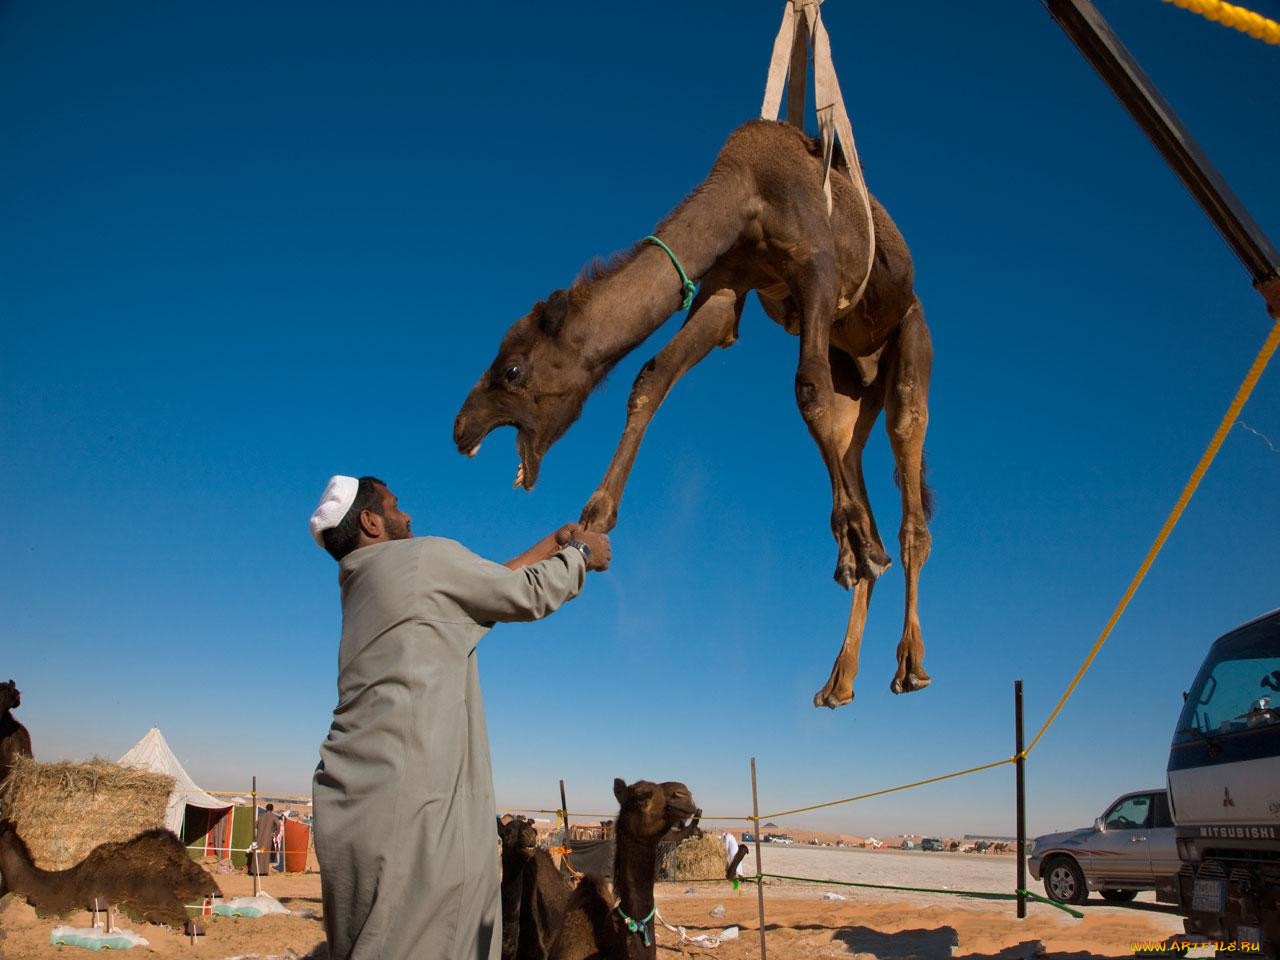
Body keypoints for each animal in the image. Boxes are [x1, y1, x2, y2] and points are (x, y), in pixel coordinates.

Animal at [455, 118, 936, 706]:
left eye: (512, 371)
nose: (461, 426)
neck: (748, 192)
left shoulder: (818, 270)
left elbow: (807, 388)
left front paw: (850, 542)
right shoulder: (728, 282)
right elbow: (652, 375)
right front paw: (596, 518)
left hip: (909, 331)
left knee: (908, 454)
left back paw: (910, 663)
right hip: (856, 381)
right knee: (850, 450)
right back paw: (840, 675)